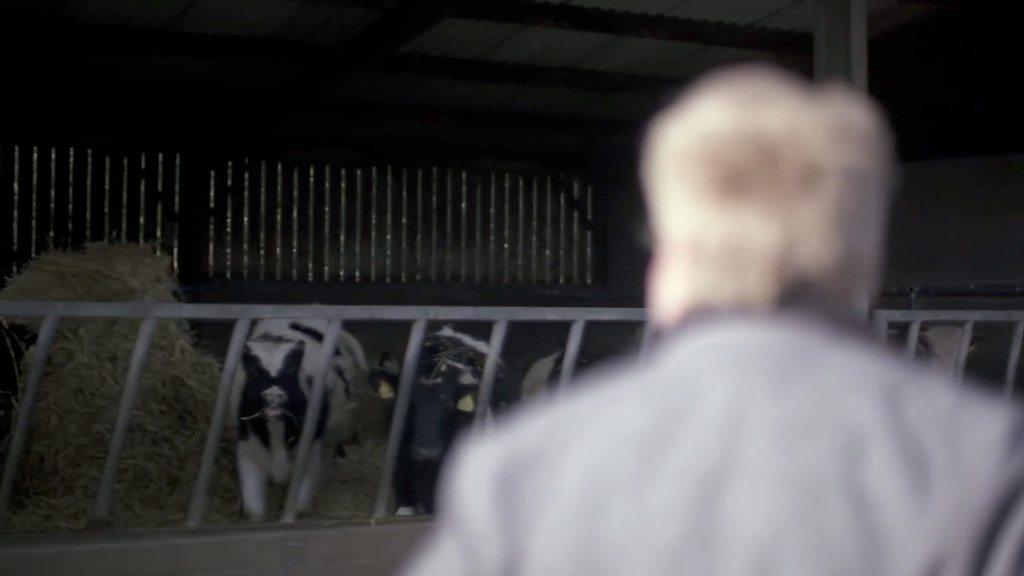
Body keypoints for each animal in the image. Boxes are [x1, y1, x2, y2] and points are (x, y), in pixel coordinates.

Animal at [231, 317, 368, 520]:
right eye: (254, 369)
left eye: (291, 367)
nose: (273, 395)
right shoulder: (248, 451)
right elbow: (253, 510)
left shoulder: (309, 457)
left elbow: (296, 507)